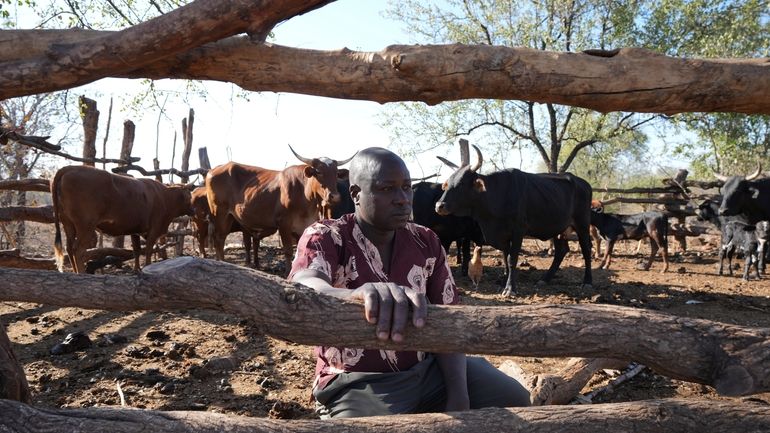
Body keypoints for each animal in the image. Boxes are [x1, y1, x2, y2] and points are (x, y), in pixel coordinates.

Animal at [51, 165, 192, 274]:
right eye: (190, 196)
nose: (193, 210)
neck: (164, 196)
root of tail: (70, 167)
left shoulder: (135, 230)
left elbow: (137, 250)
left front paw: (137, 270)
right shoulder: (154, 229)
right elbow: (148, 250)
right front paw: (147, 267)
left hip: (68, 224)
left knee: (69, 248)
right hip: (85, 225)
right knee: (78, 249)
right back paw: (81, 273)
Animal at [204, 145, 354, 274]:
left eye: (336, 173)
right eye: (319, 172)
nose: (334, 196)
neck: (305, 195)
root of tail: (214, 170)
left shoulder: (304, 225)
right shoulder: (284, 223)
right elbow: (287, 250)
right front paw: (288, 271)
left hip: (228, 216)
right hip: (219, 213)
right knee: (219, 239)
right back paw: (222, 262)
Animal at [436, 145, 592, 296]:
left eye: (462, 183)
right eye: (447, 183)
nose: (439, 206)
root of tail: (583, 183)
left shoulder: (518, 231)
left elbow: (512, 259)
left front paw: (510, 288)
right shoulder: (503, 235)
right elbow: (506, 258)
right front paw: (504, 282)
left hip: (582, 224)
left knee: (586, 249)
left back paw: (587, 282)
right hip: (558, 228)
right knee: (561, 251)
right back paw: (544, 279)